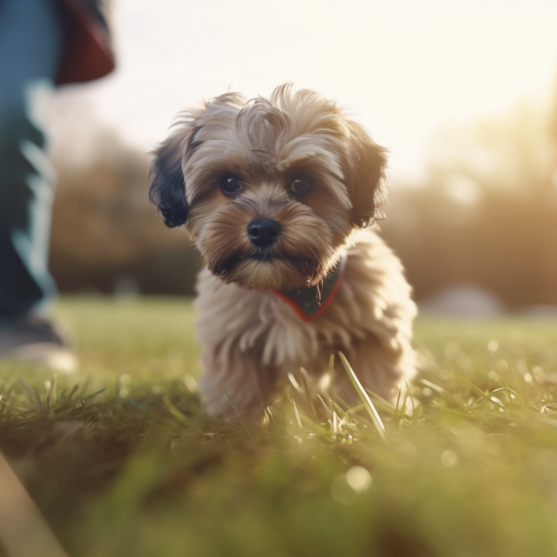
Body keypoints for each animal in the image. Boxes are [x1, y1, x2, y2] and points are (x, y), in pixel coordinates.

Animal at [150, 83, 414, 422]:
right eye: (229, 183)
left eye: (302, 183)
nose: (263, 229)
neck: (288, 287)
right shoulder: (232, 339)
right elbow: (237, 388)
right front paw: (236, 426)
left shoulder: (374, 331)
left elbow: (371, 383)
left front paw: (375, 420)